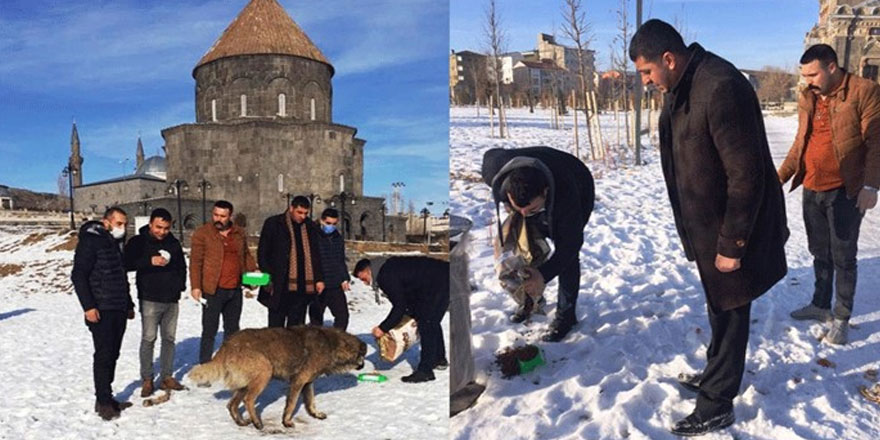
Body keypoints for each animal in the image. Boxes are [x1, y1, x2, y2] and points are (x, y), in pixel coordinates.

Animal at [189, 326, 368, 430]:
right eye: (362, 356)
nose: (364, 365)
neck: (332, 343)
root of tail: (227, 344)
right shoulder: (298, 381)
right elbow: (291, 404)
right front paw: (286, 422)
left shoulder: (308, 382)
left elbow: (311, 401)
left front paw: (315, 414)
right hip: (264, 372)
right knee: (248, 400)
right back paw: (257, 423)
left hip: (247, 382)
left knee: (232, 404)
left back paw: (242, 422)